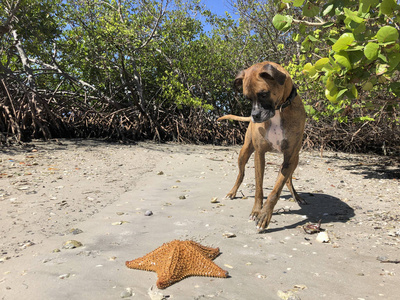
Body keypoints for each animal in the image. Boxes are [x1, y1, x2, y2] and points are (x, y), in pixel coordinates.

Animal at [219, 60, 306, 230]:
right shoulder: (259, 154)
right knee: (241, 174)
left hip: (295, 159)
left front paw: (265, 214)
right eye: (247, 98)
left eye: (264, 94)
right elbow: (259, 188)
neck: (279, 110)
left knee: (288, 179)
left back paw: (296, 195)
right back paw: (233, 192)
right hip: (244, 152)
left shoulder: (290, 157)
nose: (254, 116)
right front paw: (256, 211)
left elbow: (276, 190)